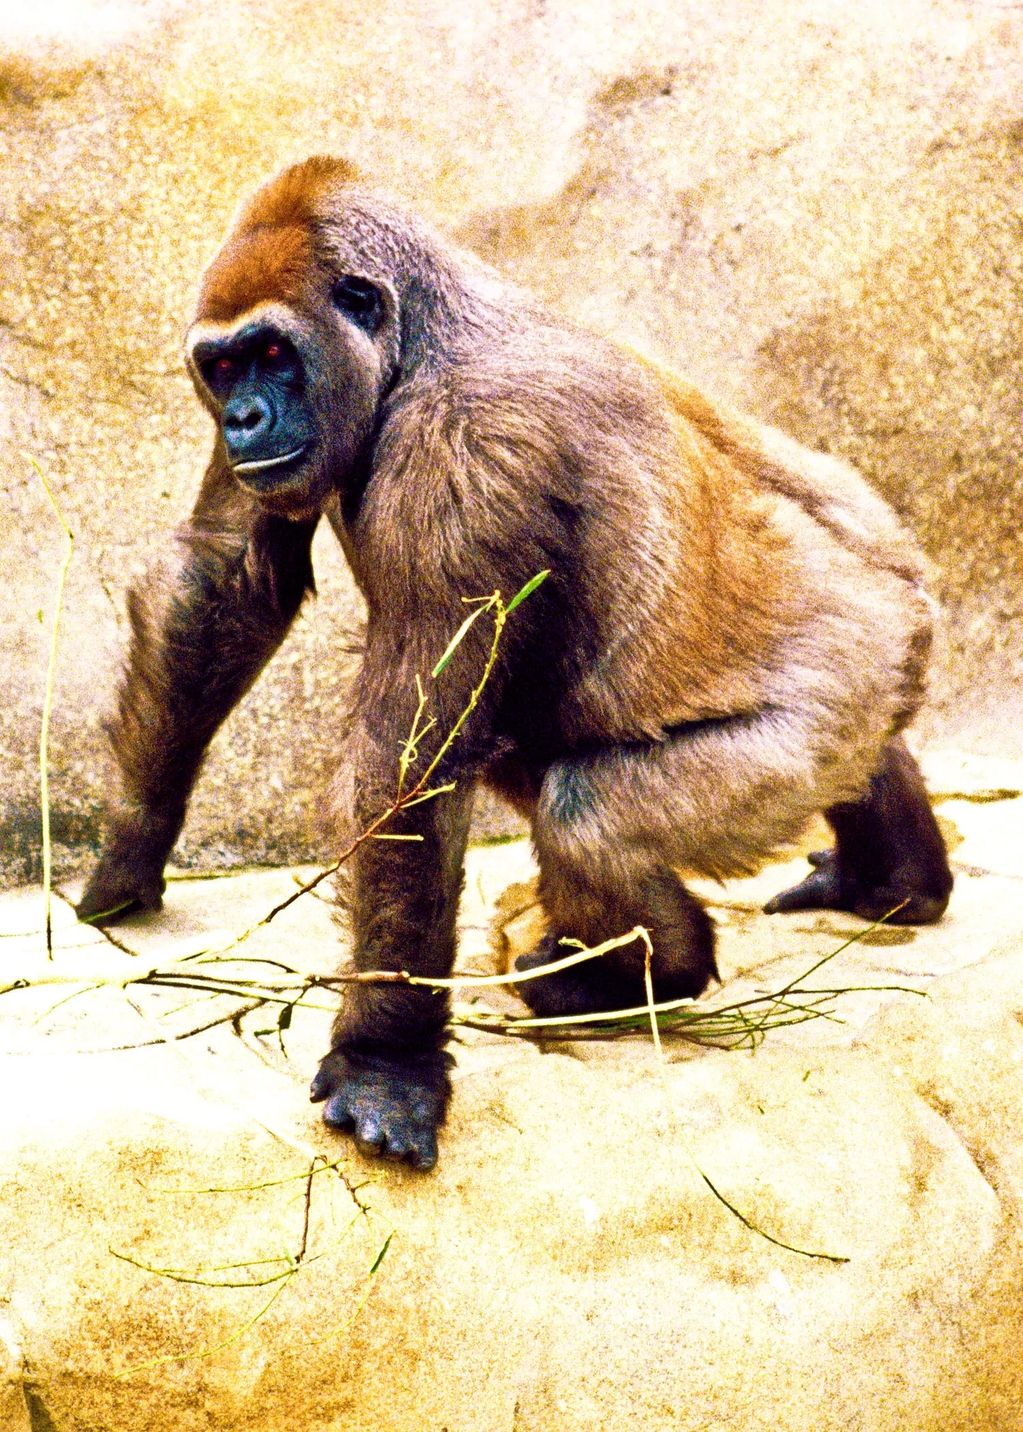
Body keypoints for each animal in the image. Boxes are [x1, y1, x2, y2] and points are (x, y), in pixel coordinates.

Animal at [76, 155, 953, 1170]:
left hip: (833, 695)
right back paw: (888, 877)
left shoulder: (468, 453)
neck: (417, 341)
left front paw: (386, 1061)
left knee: (589, 816)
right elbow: (223, 582)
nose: (245, 418)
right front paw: (130, 847)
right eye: (222, 368)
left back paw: (645, 971)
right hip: (874, 656)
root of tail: (904, 605)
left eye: (271, 354)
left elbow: (407, 771)